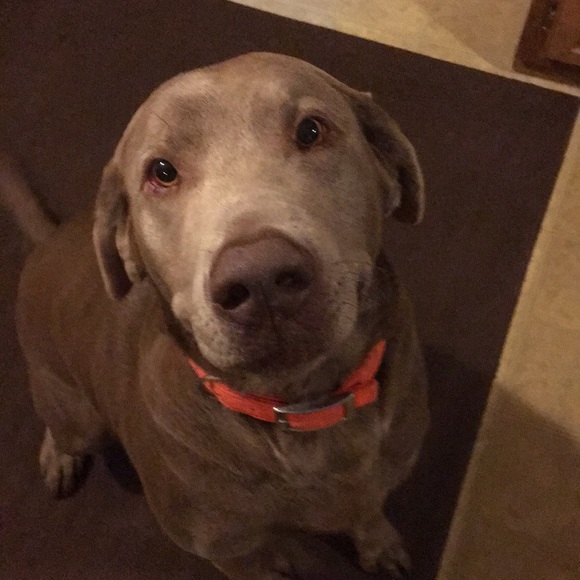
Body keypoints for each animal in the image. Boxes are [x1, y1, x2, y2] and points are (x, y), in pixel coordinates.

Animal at [2, 53, 429, 579]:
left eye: (311, 130)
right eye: (162, 171)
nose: (262, 279)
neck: (303, 408)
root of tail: (49, 239)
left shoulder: (384, 472)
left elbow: (368, 512)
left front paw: (380, 545)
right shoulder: (229, 550)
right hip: (76, 414)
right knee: (62, 426)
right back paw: (58, 455)